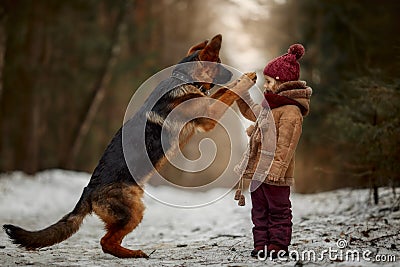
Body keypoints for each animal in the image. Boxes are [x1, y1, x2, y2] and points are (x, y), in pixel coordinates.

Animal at [3, 34, 256, 258]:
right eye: (219, 63)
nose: (233, 71)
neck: (182, 79)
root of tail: (88, 191)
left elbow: (222, 92)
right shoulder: (208, 118)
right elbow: (227, 93)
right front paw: (245, 80)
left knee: (108, 240)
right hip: (133, 212)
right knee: (105, 242)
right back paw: (134, 254)